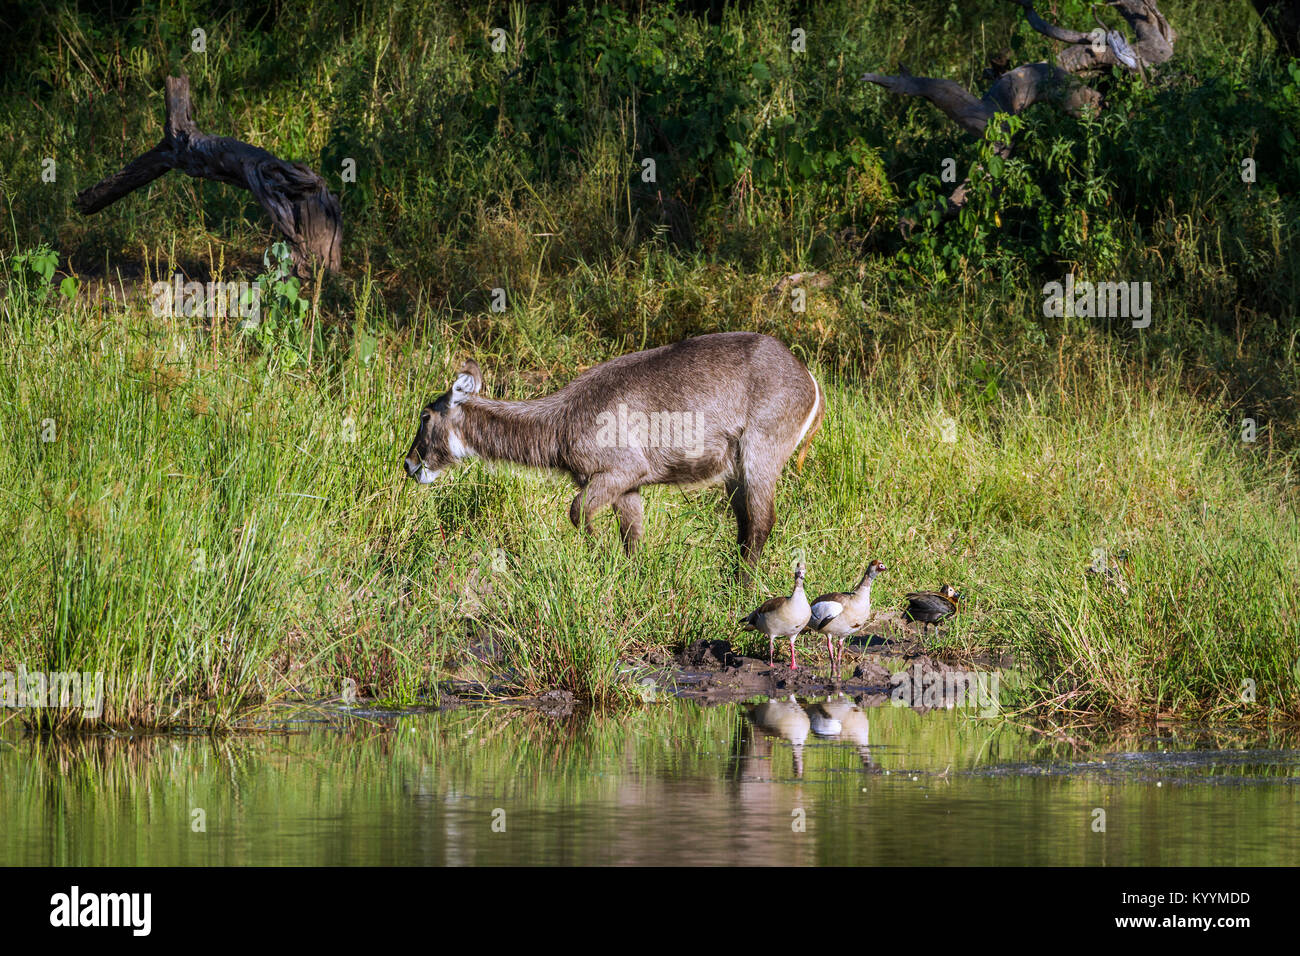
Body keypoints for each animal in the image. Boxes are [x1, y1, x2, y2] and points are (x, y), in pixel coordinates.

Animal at [403, 332, 821, 580]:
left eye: (425, 416)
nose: (408, 465)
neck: (561, 421)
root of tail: (807, 376)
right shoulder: (629, 487)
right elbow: (632, 537)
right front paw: (630, 579)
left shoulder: (620, 471)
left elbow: (577, 513)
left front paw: (598, 557)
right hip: (733, 470)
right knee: (745, 523)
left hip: (759, 455)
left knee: (762, 521)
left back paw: (744, 586)